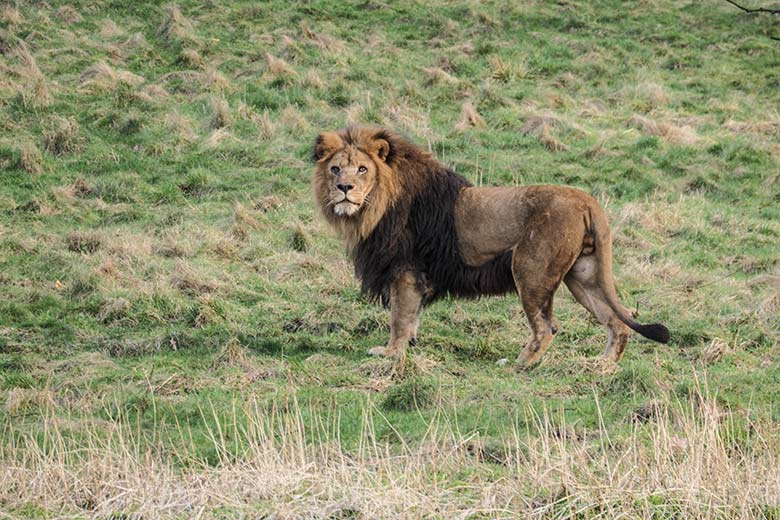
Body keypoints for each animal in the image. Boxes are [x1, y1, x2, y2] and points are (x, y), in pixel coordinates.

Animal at [312, 127, 672, 366]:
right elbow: (411, 317)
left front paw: (390, 353)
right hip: (584, 275)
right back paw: (602, 366)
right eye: (335, 169)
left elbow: (399, 317)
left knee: (547, 327)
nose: (344, 188)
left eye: (362, 169)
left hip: (530, 271)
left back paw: (521, 364)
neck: (373, 208)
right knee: (616, 322)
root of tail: (587, 200)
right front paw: (407, 347)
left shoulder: (405, 270)